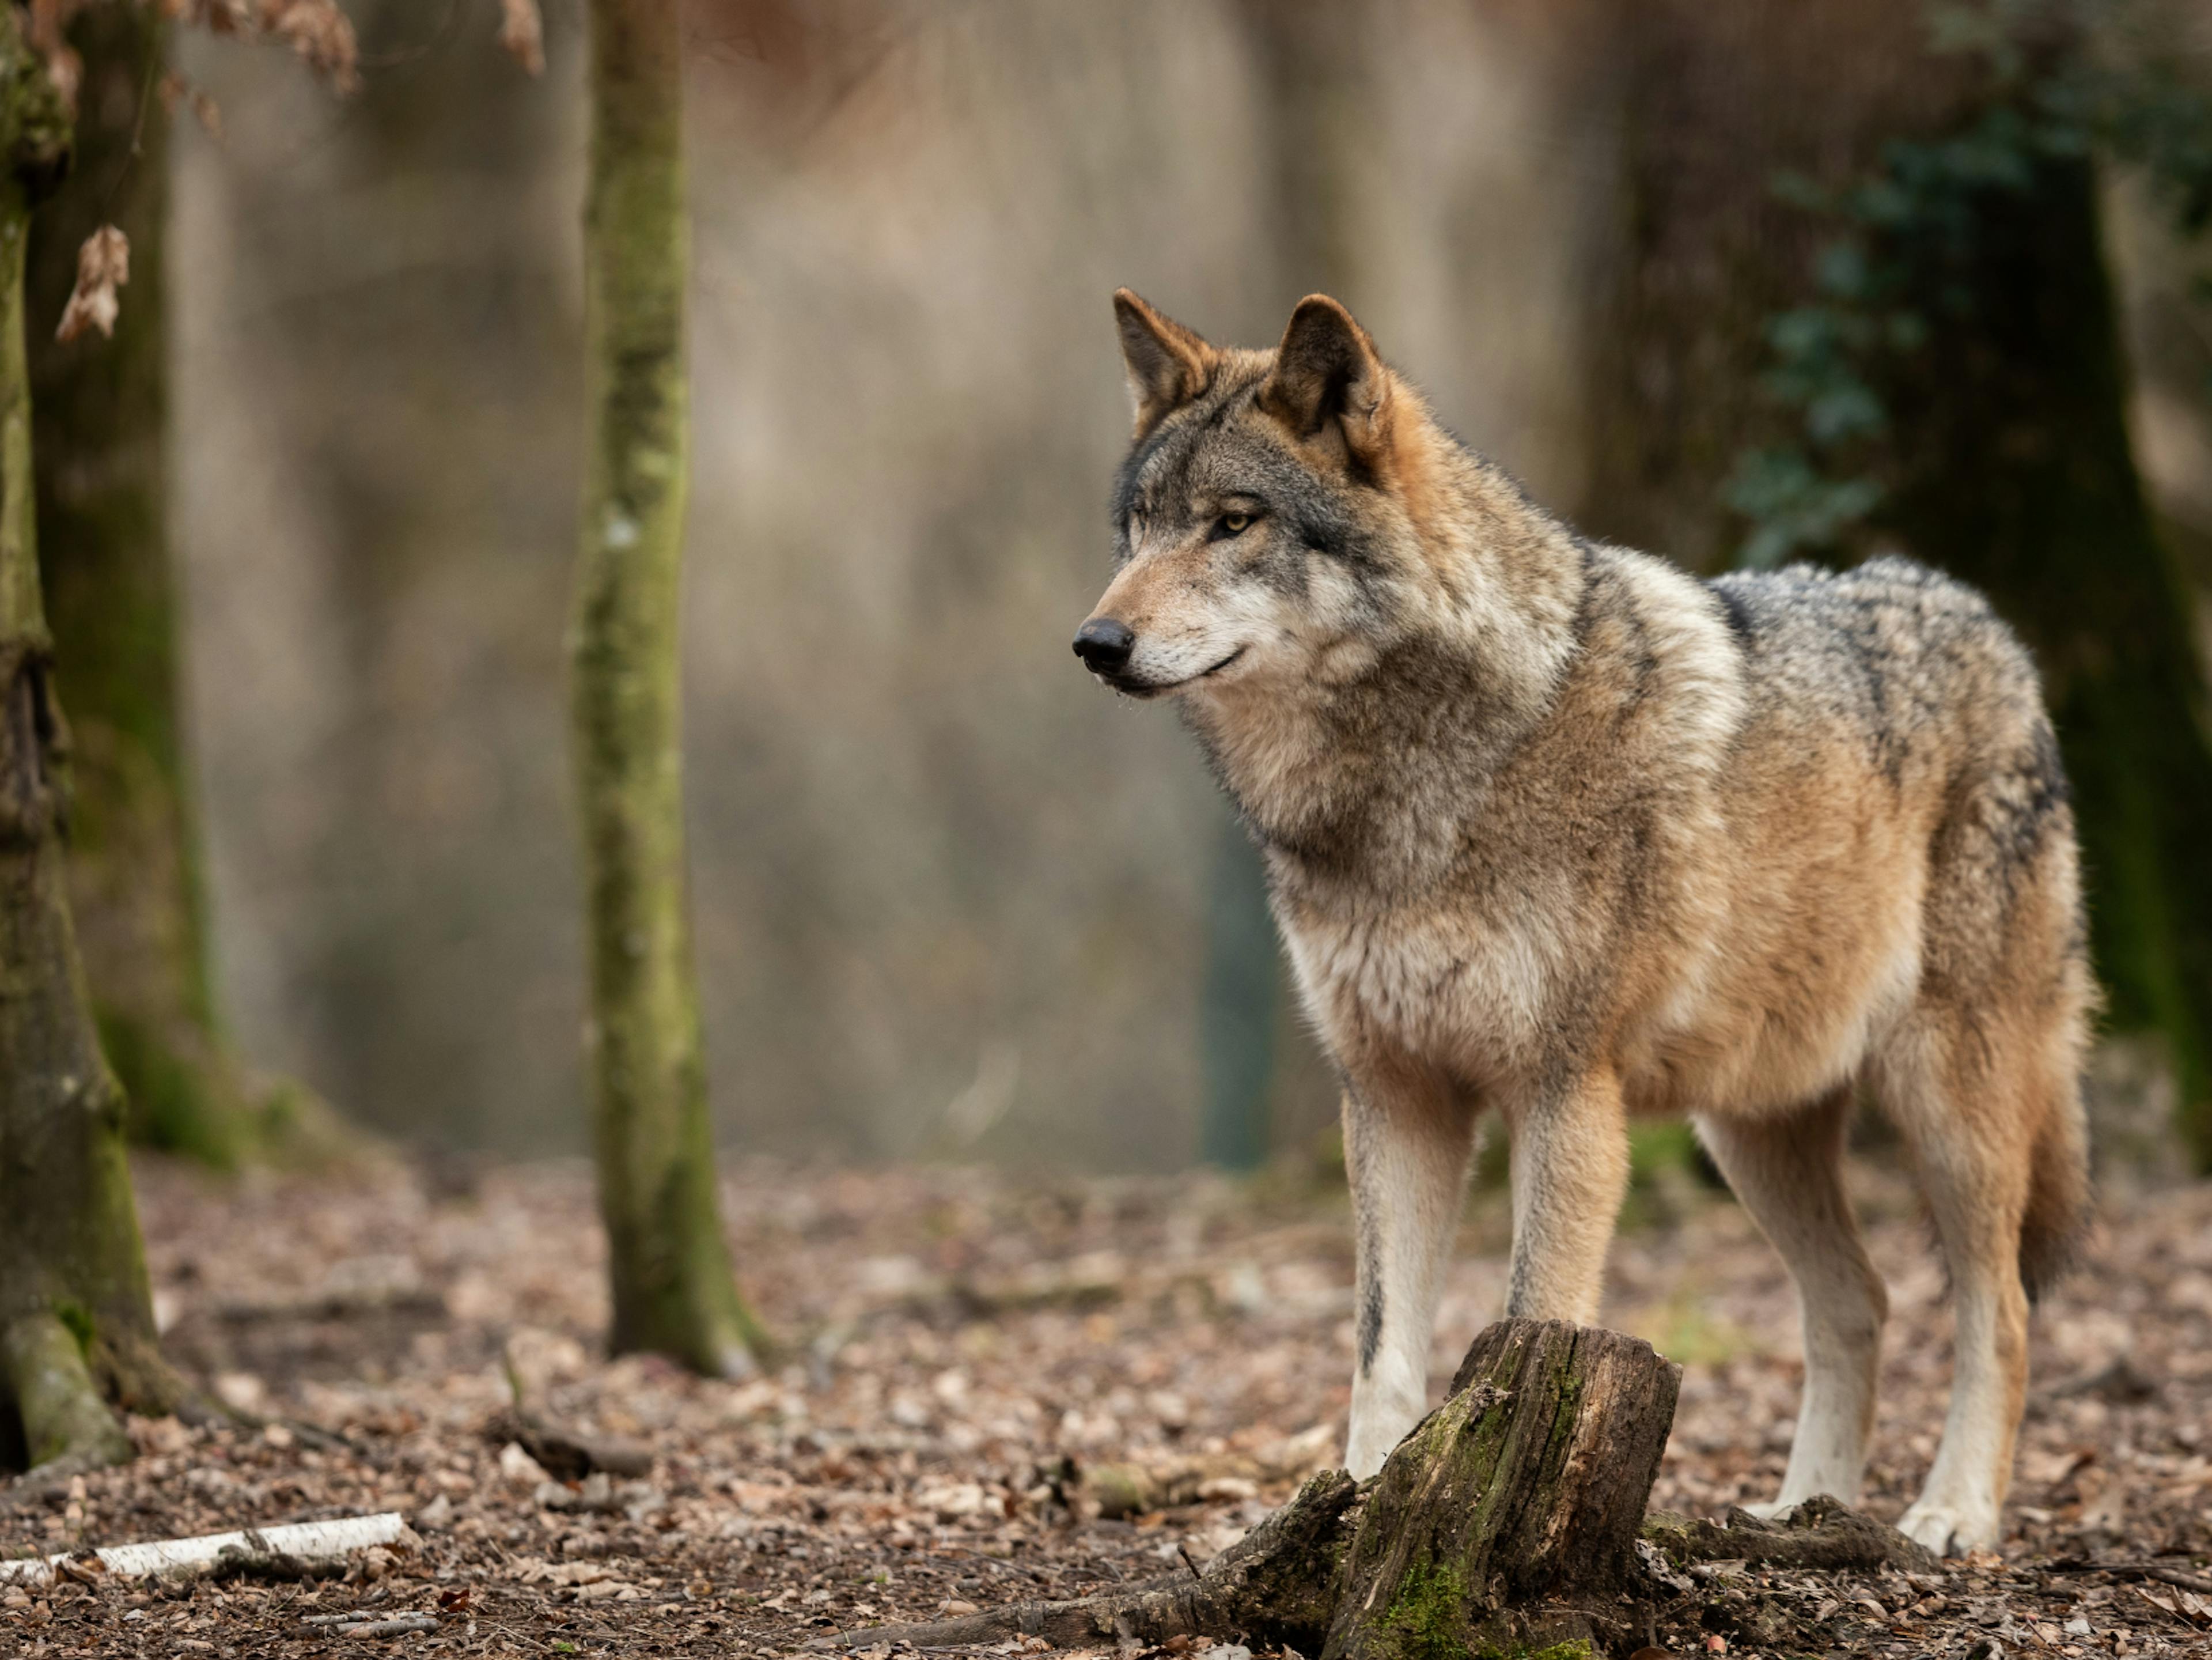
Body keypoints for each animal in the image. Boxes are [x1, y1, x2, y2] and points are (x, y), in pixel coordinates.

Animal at [1079, 290, 2097, 1558]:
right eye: (1138, 529)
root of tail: (1987, 622)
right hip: (1750, 1131)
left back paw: (1952, 1515)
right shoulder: (1394, 1096)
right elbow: (1380, 1350)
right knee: (1859, 1301)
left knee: (1999, 1311)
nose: (1096, 645)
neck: (1405, 792)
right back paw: (1801, 1511)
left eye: (1232, 523)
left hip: (1949, 1111)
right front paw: (1358, 1511)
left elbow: (1529, 1325)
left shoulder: (1564, 1094)